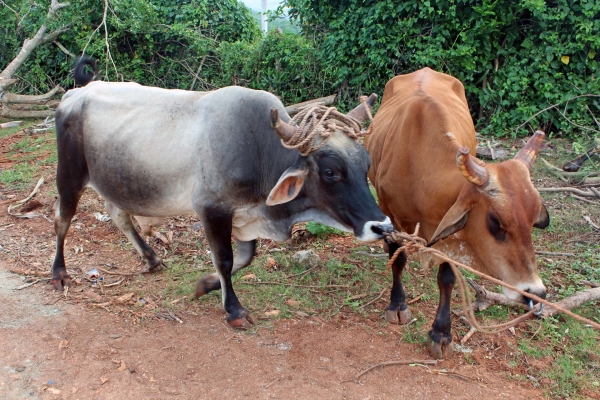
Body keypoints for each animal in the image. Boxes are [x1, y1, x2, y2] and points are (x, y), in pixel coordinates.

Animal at [52, 79, 394, 328]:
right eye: (330, 172)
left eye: (366, 164)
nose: (383, 226)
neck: (260, 151)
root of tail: (75, 93)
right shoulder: (213, 209)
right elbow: (226, 260)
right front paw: (234, 310)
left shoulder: (244, 216)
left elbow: (245, 258)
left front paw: (205, 284)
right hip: (69, 176)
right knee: (62, 221)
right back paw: (59, 273)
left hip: (112, 182)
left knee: (118, 215)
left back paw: (151, 258)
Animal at [364, 67, 552, 358]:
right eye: (496, 221)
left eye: (532, 222)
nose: (535, 293)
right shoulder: (390, 215)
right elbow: (398, 259)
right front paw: (397, 305)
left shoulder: (453, 236)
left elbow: (447, 279)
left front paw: (441, 333)